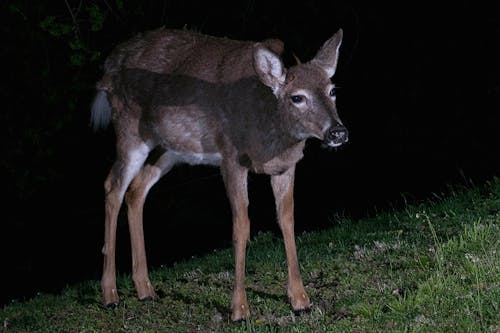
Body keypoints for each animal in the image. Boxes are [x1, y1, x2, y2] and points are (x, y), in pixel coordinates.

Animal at [91, 27, 348, 320]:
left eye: (332, 90)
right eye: (297, 97)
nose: (338, 132)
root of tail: (108, 65)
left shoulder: (286, 165)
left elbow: (287, 220)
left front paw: (301, 300)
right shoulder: (231, 158)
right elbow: (241, 227)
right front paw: (239, 309)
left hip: (170, 148)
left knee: (136, 190)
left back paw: (145, 289)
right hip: (129, 130)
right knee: (113, 186)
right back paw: (110, 294)